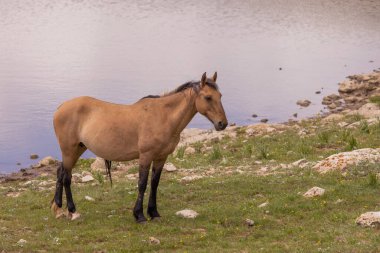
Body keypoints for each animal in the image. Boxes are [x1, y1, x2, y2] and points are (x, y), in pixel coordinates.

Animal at [51, 72, 227, 222]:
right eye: (208, 97)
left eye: (220, 96)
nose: (222, 123)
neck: (163, 117)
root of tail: (61, 107)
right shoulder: (146, 156)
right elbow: (142, 184)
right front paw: (139, 215)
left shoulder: (161, 158)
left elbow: (154, 183)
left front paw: (154, 212)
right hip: (69, 150)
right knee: (66, 177)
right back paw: (72, 210)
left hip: (78, 149)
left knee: (61, 172)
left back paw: (58, 208)